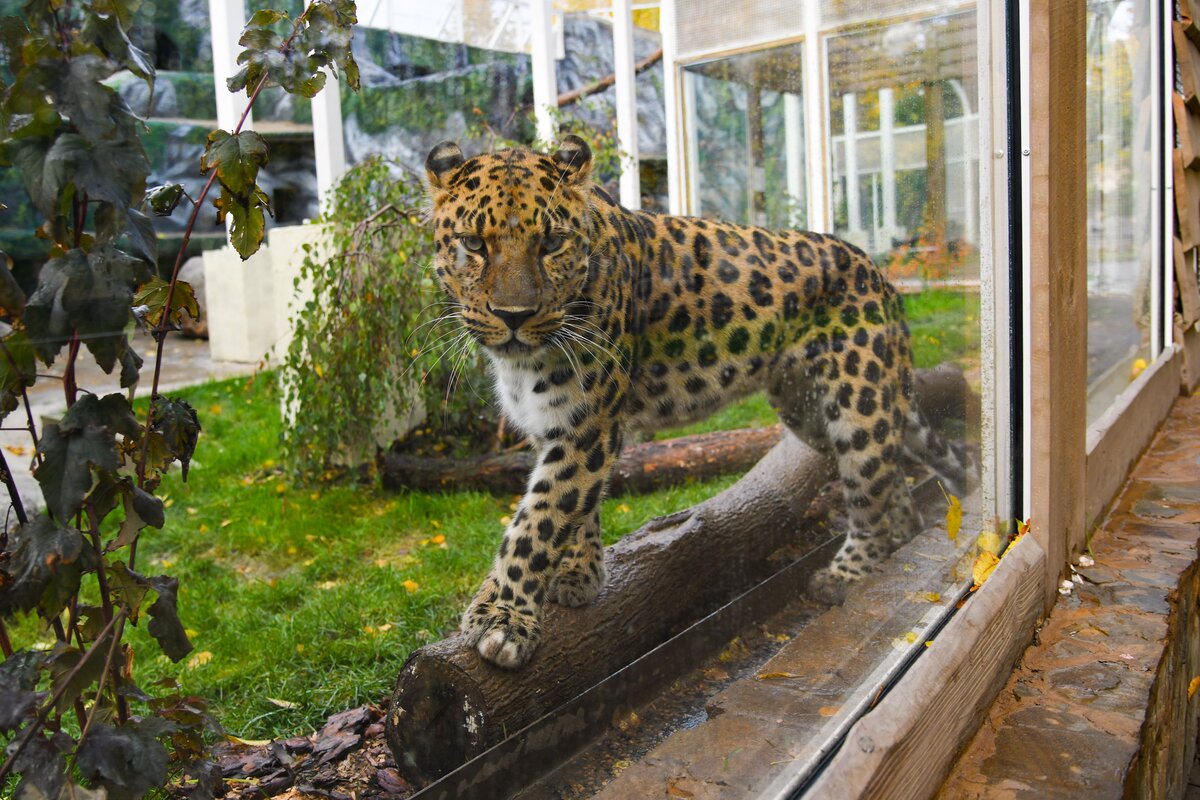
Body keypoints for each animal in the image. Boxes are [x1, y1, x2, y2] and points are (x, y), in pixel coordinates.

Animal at [423, 134, 974, 670]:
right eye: (473, 244)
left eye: (551, 243)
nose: (513, 315)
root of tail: (880, 275)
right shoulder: (558, 426)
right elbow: (576, 508)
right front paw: (580, 574)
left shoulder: (588, 426)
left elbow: (537, 522)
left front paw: (502, 618)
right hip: (811, 412)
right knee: (889, 483)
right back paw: (894, 544)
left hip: (858, 403)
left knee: (869, 490)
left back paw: (845, 574)